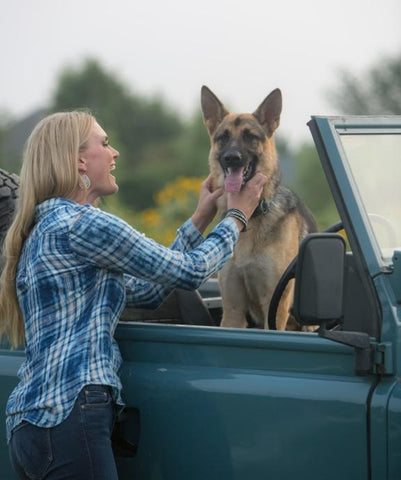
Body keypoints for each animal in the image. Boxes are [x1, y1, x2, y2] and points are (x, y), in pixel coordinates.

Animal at [200, 86, 316, 330]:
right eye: (223, 138)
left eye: (249, 137)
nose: (231, 158)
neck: (250, 218)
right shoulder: (233, 310)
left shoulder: (276, 308)